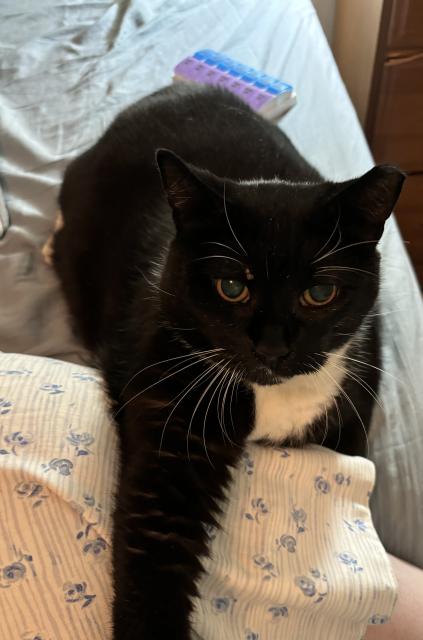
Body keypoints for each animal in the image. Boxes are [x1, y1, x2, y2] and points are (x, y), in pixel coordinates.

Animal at [51, 82, 406, 636]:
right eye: (232, 286)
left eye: (320, 292)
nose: (273, 347)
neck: (274, 394)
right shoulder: (169, 414)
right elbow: (156, 540)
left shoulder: (353, 414)